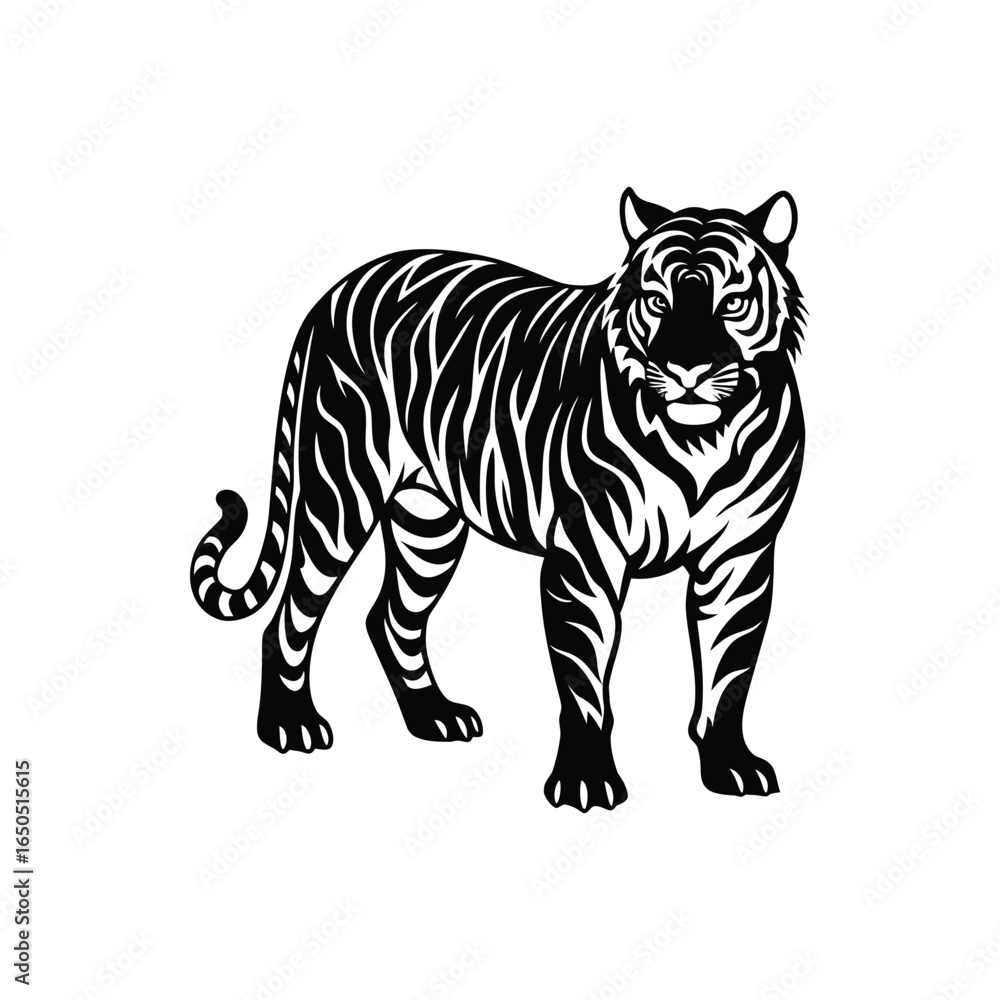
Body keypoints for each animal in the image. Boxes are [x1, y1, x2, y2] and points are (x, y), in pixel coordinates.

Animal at [190, 188, 806, 812]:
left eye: (733, 302)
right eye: (657, 301)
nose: (687, 369)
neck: (700, 441)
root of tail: (338, 289)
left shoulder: (740, 560)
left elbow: (729, 672)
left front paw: (730, 765)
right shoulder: (586, 558)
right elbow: (584, 680)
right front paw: (586, 780)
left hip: (429, 525)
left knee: (391, 617)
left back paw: (434, 716)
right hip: (340, 497)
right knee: (291, 617)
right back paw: (291, 724)